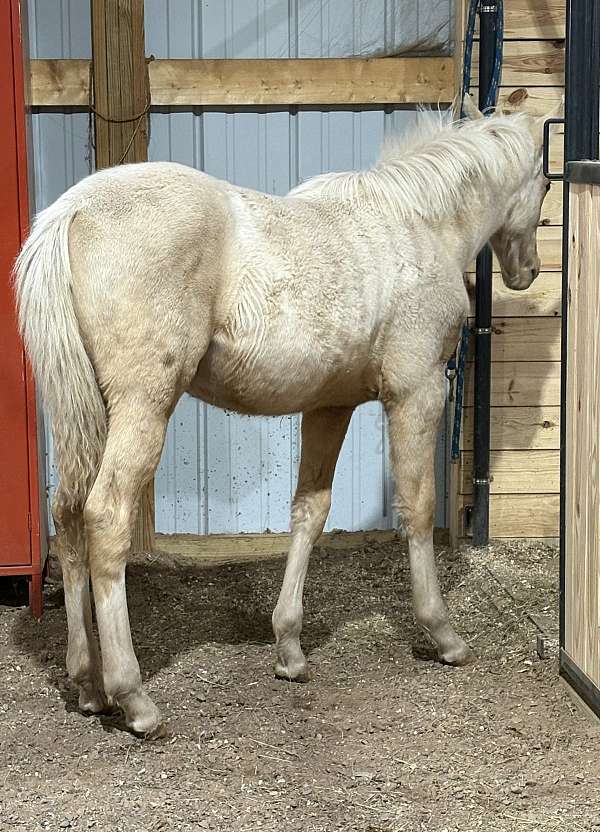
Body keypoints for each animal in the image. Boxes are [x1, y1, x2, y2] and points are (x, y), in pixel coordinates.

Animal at [15, 96, 552, 738]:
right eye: (547, 182)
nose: (528, 271)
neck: (417, 223)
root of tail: (72, 210)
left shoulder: (329, 406)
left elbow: (309, 512)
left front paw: (290, 649)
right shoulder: (417, 393)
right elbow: (418, 508)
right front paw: (443, 633)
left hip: (85, 412)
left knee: (68, 515)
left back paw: (88, 684)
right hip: (143, 404)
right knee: (104, 516)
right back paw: (134, 698)